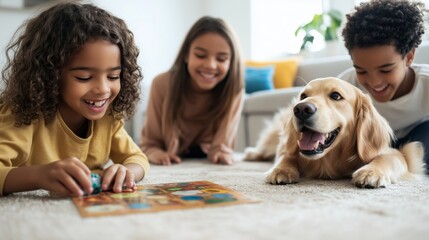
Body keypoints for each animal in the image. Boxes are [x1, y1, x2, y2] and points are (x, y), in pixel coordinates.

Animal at [244, 77, 424, 188]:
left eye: (336, 96)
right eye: (303, 95)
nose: (301, 109)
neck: (329, 159)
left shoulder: (392, 153)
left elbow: (389, 158)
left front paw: (371, 172)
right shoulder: (288, 148)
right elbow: (286, 156)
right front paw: (281, 170)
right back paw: (251, 154)